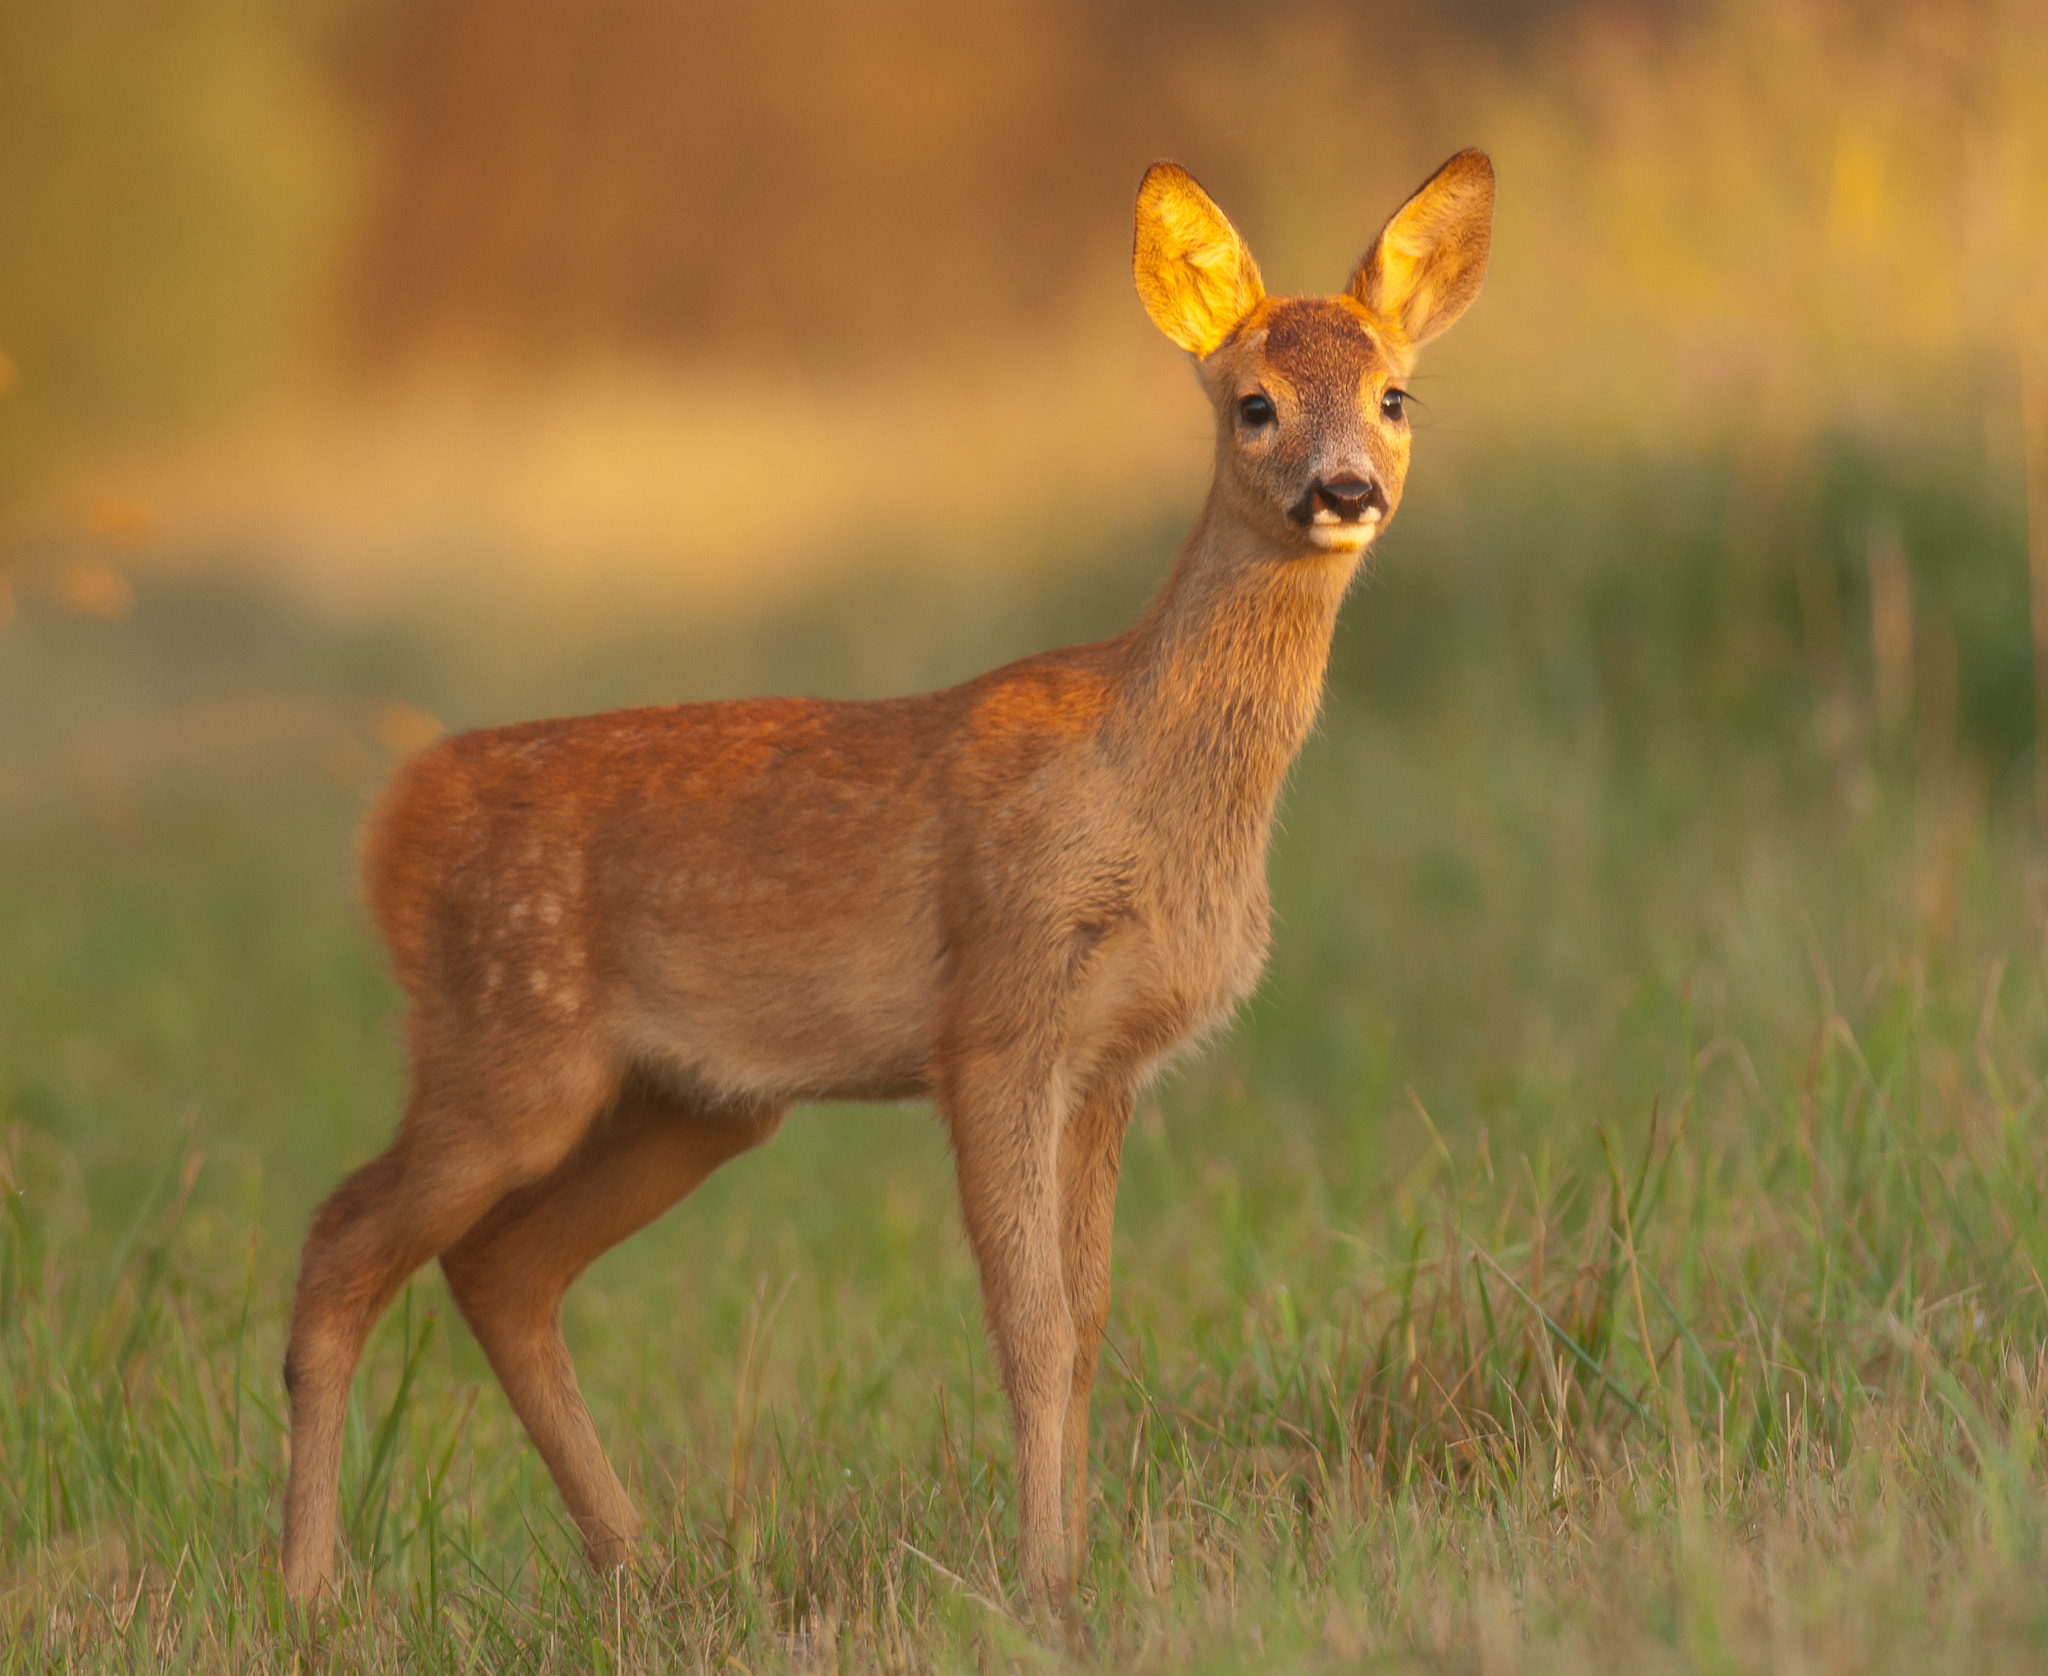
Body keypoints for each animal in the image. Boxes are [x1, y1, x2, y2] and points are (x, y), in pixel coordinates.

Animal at [280, 150, 1490, 1598]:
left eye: (1393, 396)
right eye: (1254, 403)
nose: (1344, 489)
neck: (1145, 790)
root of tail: (391, 823)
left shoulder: (1108, 1058)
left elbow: (1087, 1324)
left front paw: (1078, 1557)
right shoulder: (996, 1020)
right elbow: (1028, 1326)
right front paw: (1043, 1579)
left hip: (692, 1101)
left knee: (499, 1266)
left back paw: (637, 1564)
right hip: (507, 1039)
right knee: (342, 1240)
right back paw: (306, 1594)